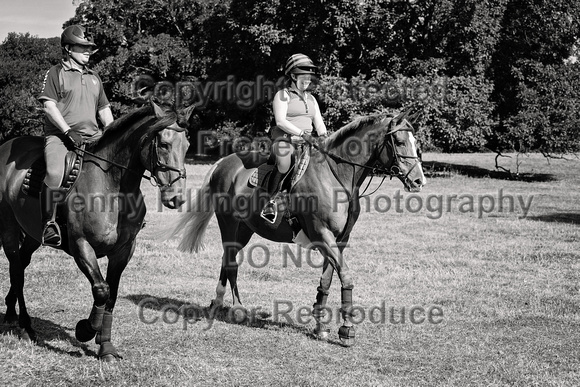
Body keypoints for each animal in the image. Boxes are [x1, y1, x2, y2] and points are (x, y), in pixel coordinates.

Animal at [0, 100, 191, 360]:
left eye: (187, 146)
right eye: (163, 144)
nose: (176, 198)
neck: (112, 187)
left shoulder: (123, 250)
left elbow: (112, 295)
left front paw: (106, 346)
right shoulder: (81, 246)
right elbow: (101, 289)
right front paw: (85, 330)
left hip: (31, 234)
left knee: (19, 263)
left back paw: (11, 313)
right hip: (9, 227)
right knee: (17, 269)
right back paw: (26, 326)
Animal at [170, 110, 424, 348]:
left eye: (416, 143)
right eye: (399, 141)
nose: (419, 181)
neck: (335, 177)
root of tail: (222, 163)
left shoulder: (339, 240)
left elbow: (326, 282)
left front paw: (321, 326)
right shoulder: (322, 234)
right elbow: (346, 277)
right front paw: (347, 329)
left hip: (244, 229)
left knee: (227, 259)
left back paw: (221, 302)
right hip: (229, 223)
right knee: (231, 262)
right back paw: (235, 307)